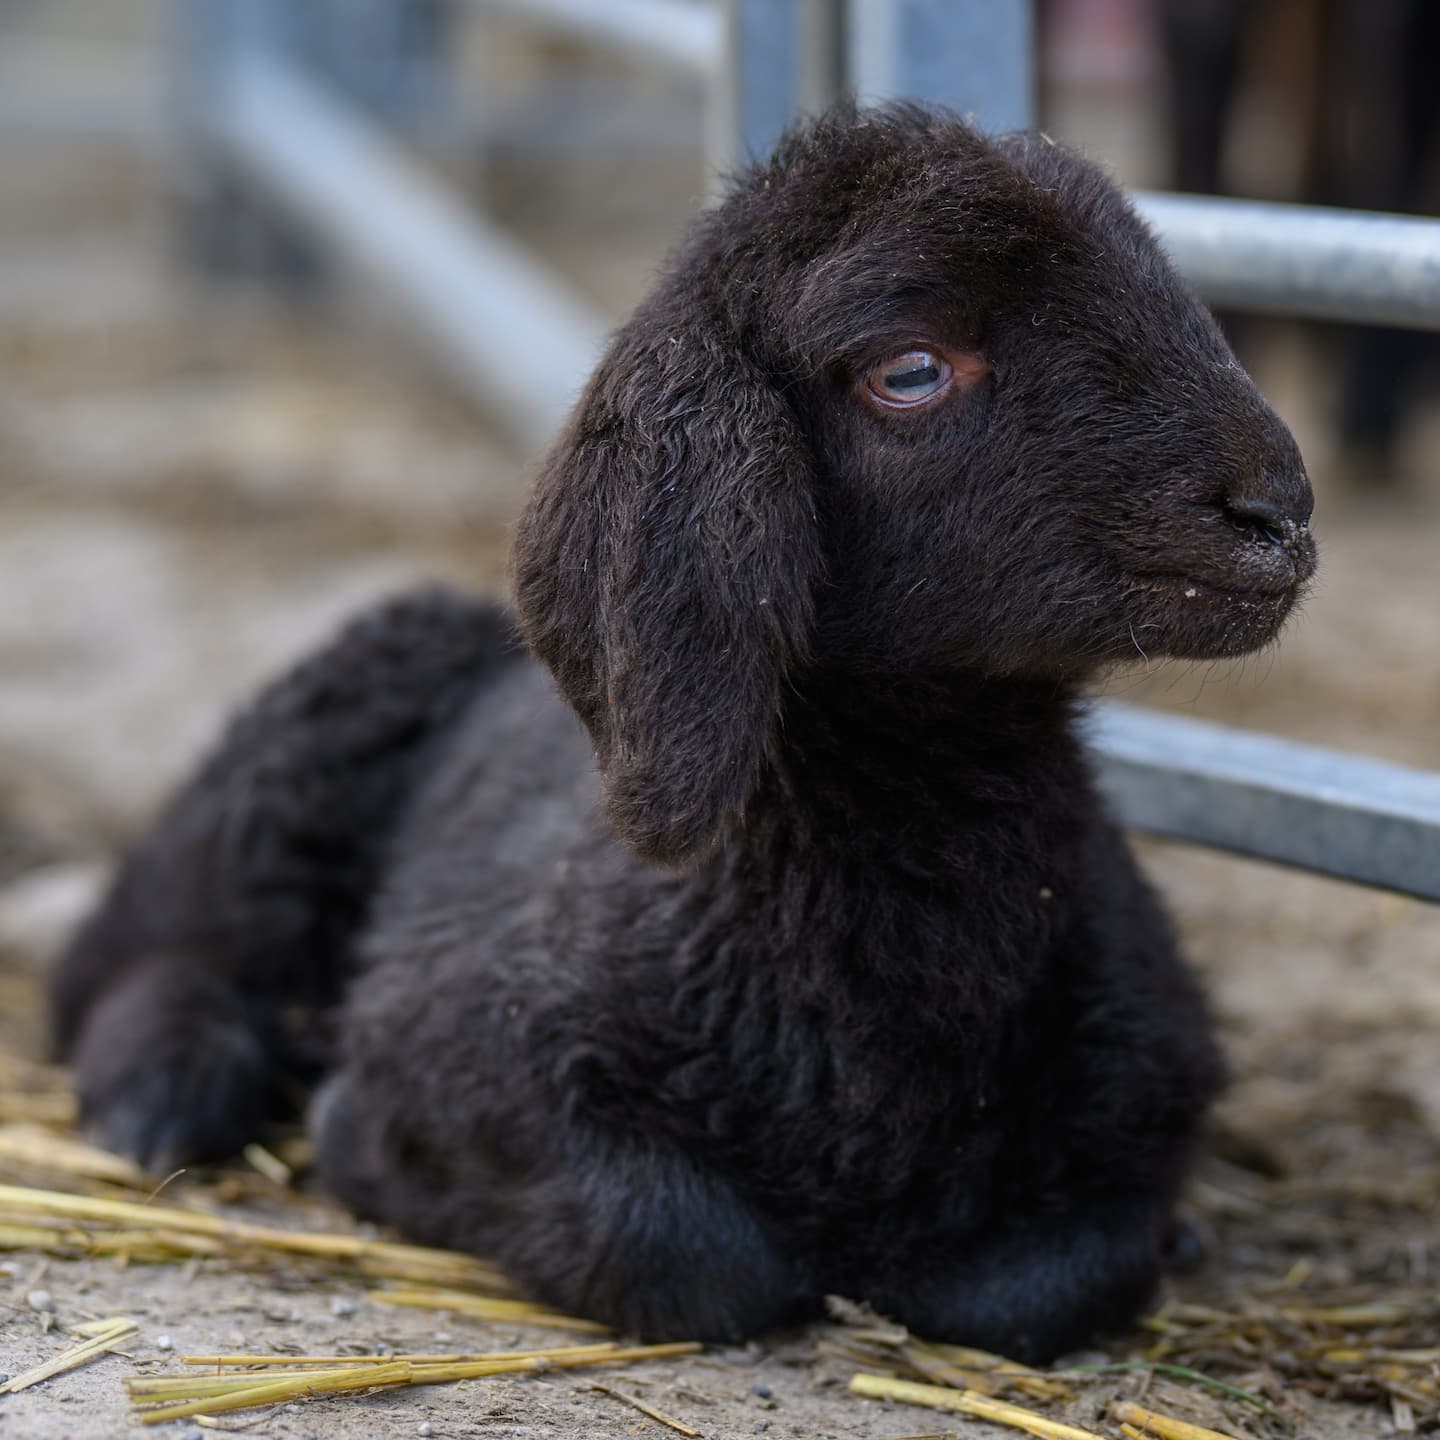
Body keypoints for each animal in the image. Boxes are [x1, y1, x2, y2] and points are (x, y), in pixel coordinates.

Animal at [50, 103, 1317, 1363]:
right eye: (910, 370)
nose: (1277, 511)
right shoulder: (463, 1039)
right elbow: (678, 1250)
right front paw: (356, 1137)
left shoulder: (1147, 1087)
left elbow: (1036, 1284)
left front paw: (1161, 1240)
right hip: (290, 762)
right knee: (134, 950)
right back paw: (165, 1092)